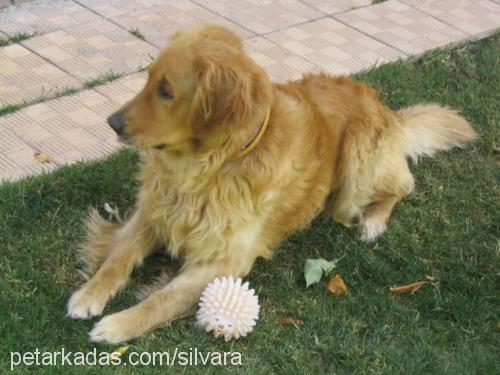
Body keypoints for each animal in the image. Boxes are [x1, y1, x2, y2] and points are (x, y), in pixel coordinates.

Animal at [66, 25, 476, 344]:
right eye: (148, 79)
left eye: (166, 91)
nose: (112, 123)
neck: (209, 167)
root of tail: (387, 111)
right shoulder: (154, 211)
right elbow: (118, 258)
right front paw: (89, 295)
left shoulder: (227, 259)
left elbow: (162, 299)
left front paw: (118, 325)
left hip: (359, 163)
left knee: (404, 184)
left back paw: (374, 221)